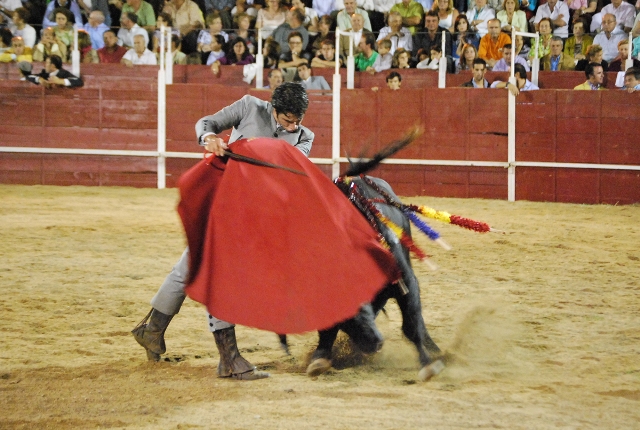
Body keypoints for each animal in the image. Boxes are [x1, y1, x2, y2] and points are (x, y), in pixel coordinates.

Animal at [278, 176, 448, 382]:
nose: (374, 343)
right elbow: (327, 329)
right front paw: (320, 358)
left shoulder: (406, 282)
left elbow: (411, 325)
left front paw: (427, 364)